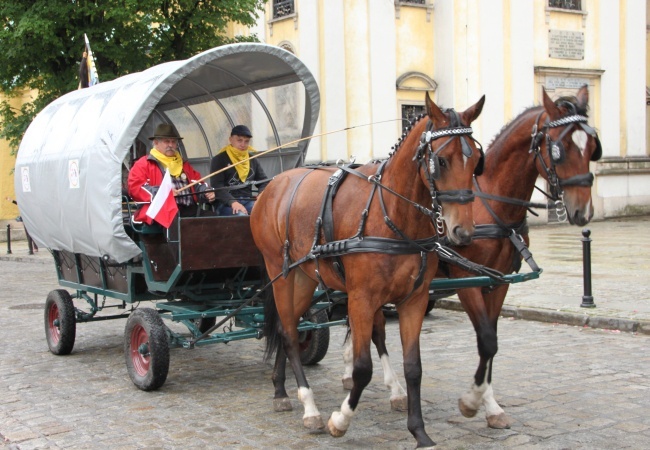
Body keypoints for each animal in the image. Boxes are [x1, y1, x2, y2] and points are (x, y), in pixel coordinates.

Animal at [251, 91, 484, 446]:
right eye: (441, 161)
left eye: (476, 161)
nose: (463, 232)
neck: (393, 215)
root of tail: (274, 184)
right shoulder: (361, 299)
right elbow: (362, 368)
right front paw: (340, 419)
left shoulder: (413, 300)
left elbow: (413, 366)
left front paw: (419, 432)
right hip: (282, 273)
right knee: (289, 333)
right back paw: (310, 407)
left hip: (305, 279)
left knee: (282, 325)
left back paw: (280, 390)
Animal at [344, 83, 604, 428]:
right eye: (559, 149)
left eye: (592, 148)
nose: (583, 211)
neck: (492, 205)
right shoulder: (467, 279)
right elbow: (485, 339)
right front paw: (472, 401)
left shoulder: (499, 282)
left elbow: (491, 342)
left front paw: (489, 404)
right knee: (375, 331)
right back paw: (392, 388)